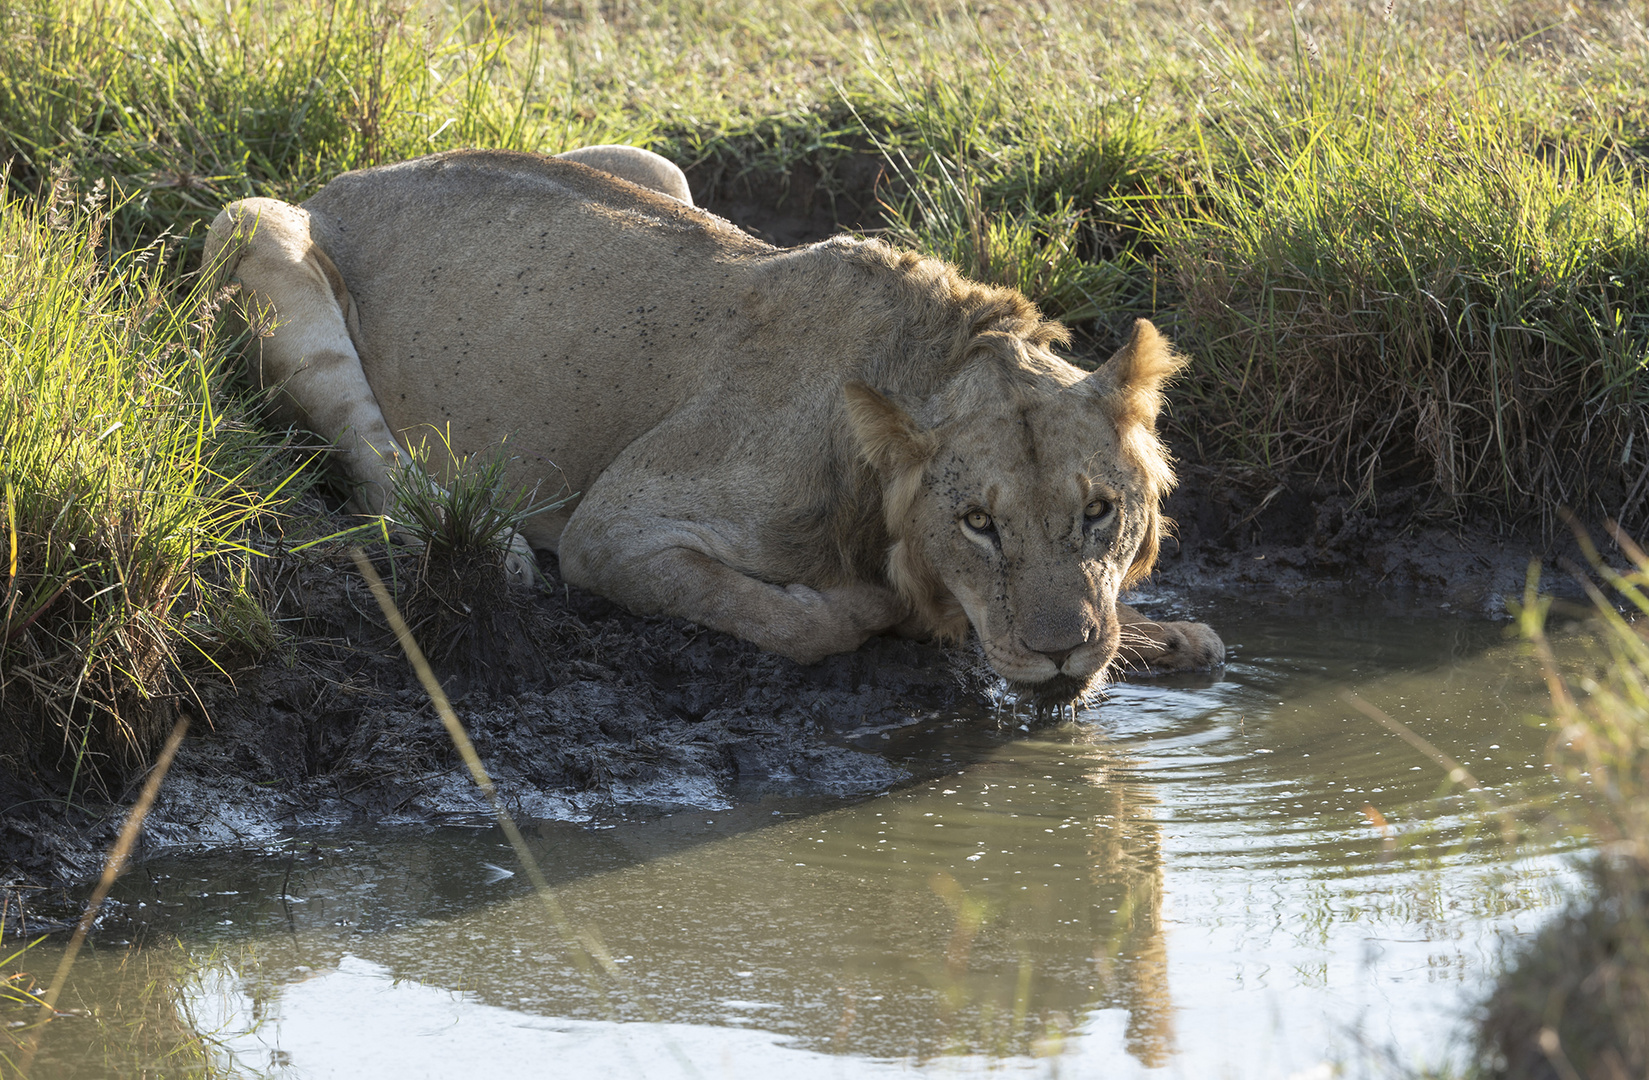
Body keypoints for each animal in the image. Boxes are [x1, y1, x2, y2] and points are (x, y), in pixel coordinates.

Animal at [202, 145, 1226, 702]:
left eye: (1097, 513)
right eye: (979, 523)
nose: (1060, 652)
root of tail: (347, 177)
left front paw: (1163, 636)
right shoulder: (613, 530)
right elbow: (784, 620)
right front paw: (869, 609)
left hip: (650, 166)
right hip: (252, 228)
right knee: (376, 463)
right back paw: (491, 546)